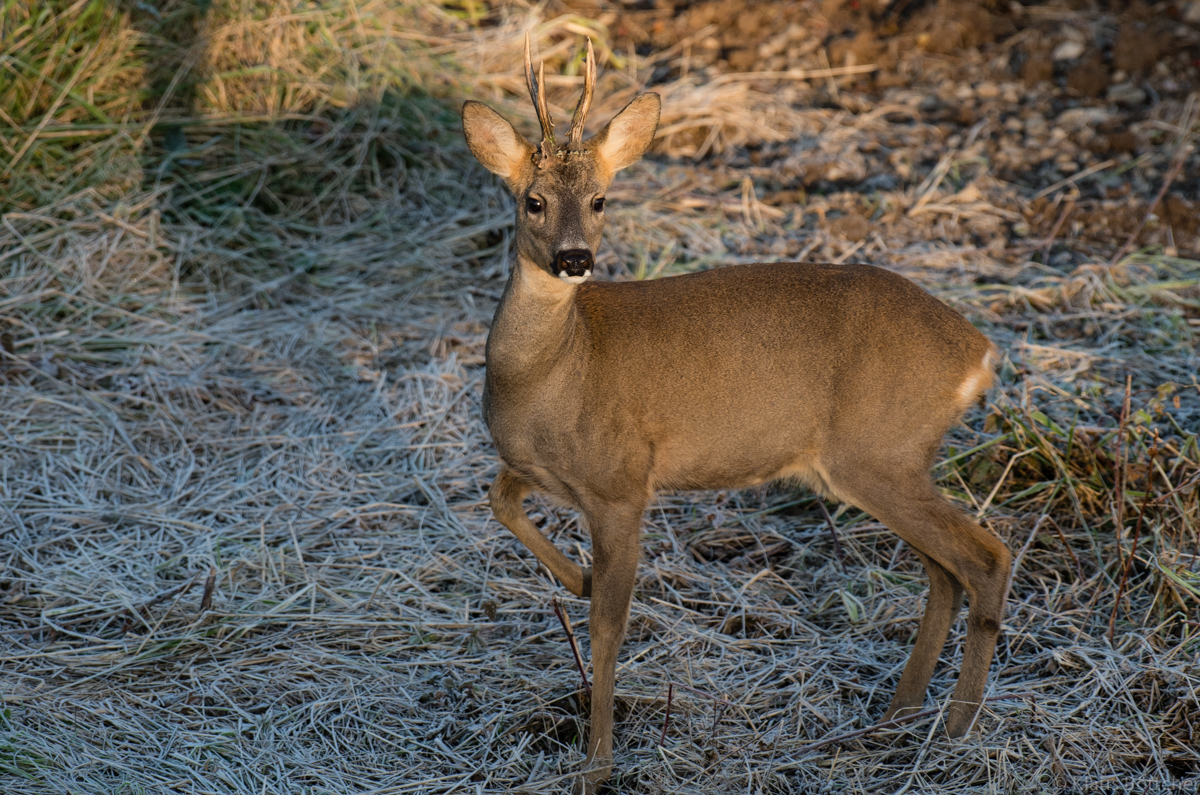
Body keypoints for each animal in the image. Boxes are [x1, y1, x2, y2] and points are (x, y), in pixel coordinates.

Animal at [460, 34, 1012, 792]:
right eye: (532, 199)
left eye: (601, 199)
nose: (575, 259)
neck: (556, 369)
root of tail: (978, 353)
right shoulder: (541, 469)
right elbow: (499, 500)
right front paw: (577, 577)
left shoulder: (623, 482)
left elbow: (608, 627)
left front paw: (597, 764)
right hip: (883, 464)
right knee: (944, 571)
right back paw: (897, 716)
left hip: (879, 452)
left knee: (985, 556)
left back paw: (956, 731)